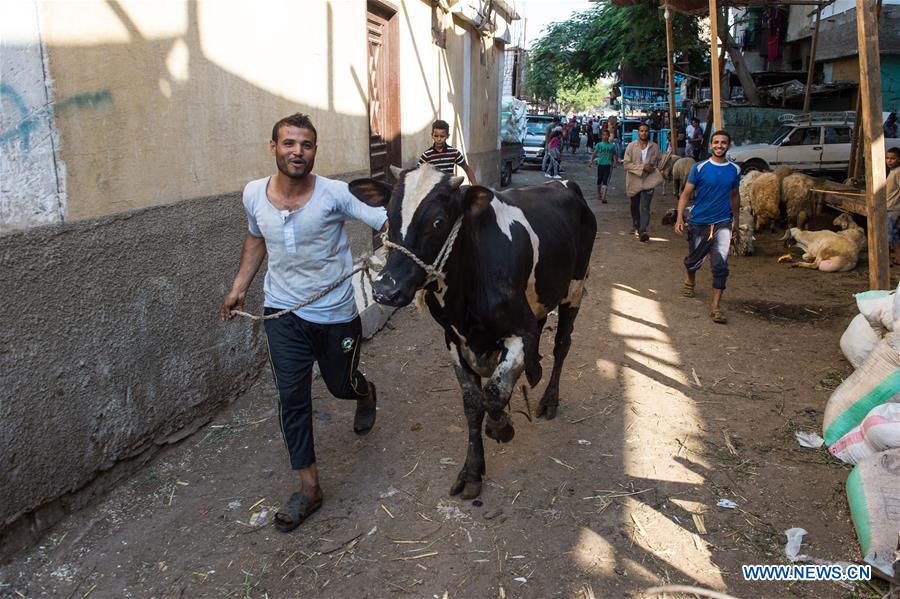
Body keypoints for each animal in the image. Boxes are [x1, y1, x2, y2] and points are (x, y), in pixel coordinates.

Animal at [352, 163, 596, 496]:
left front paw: (501, 426)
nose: (385, 290)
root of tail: (565, 184)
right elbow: (472, 402)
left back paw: (549, 399)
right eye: (389, 215)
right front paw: (472, 471)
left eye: (438, 221)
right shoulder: (455, 339)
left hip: (575, 287)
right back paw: (534, 371)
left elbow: (493, 392)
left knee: (562, 344)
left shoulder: (521, 330)